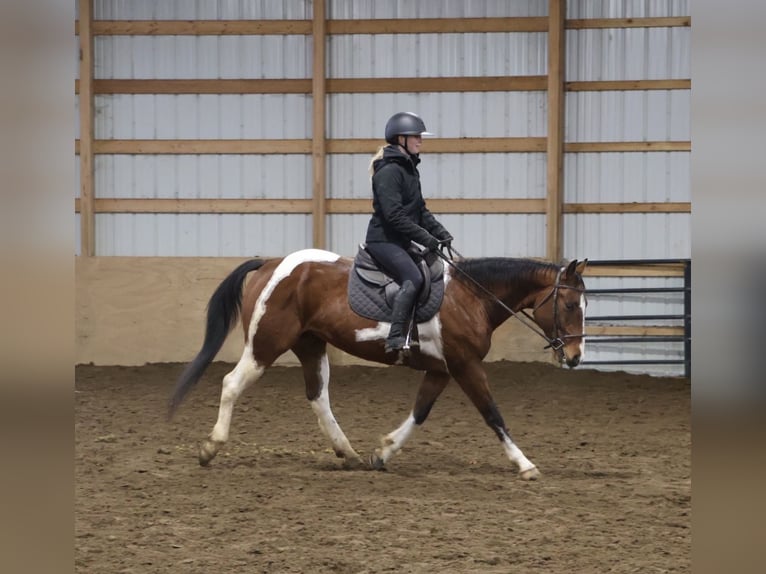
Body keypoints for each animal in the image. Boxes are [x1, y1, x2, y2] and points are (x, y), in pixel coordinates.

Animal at [168, 248, 588, 480]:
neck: (471, 297)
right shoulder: (465, 365)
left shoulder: (442, 369)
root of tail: (272, 264)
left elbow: (420, 412)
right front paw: (525, 464)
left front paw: (382, 453)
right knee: (232, 383)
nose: (575, 357)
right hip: (265, 345)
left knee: (318, 398)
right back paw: (210, 448)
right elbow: (492, 414)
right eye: (569, 305)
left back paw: (349, 454)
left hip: (310, 346)